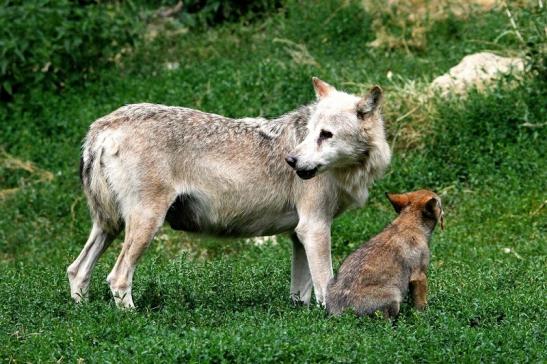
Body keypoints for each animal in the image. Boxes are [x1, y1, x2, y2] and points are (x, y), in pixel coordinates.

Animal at [68, 77, 392, 308]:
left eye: (325, 135)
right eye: (311, 133)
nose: (291, 161)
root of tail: (102, 127)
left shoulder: (299, 234)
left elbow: (301, 294)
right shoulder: (314, 228)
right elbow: (326, 286)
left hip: (109, 226)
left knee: (77, 270)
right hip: (145, 224)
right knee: (117, 277)